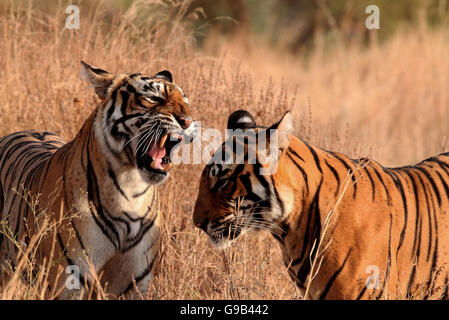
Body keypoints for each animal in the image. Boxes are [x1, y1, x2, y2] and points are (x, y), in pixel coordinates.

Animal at [0, 61, 193, 298]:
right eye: (154, 97)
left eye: (185, 100)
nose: (187, 122)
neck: (130, 190)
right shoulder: (68, 283)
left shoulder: (132, 284)